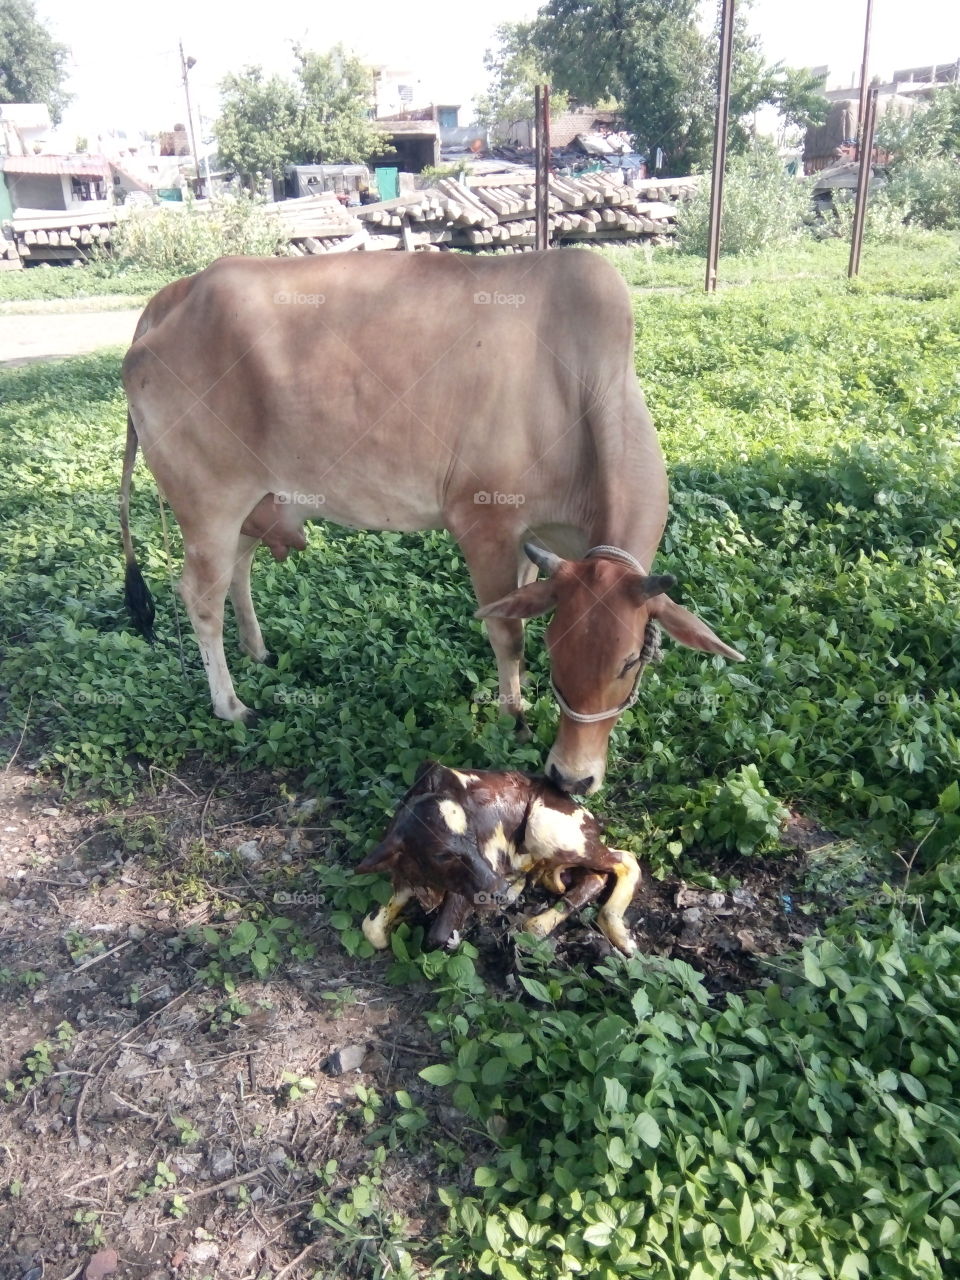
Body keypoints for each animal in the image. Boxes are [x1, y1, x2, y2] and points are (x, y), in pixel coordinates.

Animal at [119, 250, 743, 794]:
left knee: (239, 573)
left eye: (631, 661)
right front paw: (515, 721)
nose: (571, 779)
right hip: (210, 506)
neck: (578, 387)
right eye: (558, 654)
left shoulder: (535, 543)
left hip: (257, 503)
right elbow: (506, 633)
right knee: (200, 595)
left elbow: (517, 607)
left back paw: (259, 651)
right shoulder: (484, 524)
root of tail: (174, 295)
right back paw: (231, 704)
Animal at [355, 761, 642, 955]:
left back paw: (617, 932)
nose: (499, 890)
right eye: (440, 854)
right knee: (594, 878)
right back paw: (537, 917)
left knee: (626, 859)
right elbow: (371, 928)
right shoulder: (406, 875)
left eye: (473, 835)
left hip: (548, 829)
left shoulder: (483, 872)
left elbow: (437, 936)